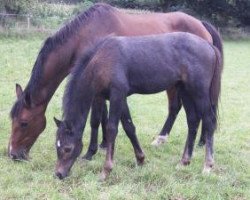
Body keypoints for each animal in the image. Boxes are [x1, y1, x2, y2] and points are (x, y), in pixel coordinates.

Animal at [8, 2, 223, 161]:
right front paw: (104, 144)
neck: (87, 35)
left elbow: (95, 119)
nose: (12, 154)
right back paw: (198, 141)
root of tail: (201, 24)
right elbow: (105, 117)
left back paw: (172, 139)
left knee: (182, 108)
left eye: (24, 123)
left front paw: (91, 152)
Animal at [53, 32, 222, 180]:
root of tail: (209, 45)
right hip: (185, 90)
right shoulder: (118, 97)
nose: (59, 174)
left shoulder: (117, 94)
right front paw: (140, 159)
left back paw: (207, 165)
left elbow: (112, 128)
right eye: (57, 146)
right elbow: (129, 127)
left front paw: (106, 171)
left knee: (209, 121)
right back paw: (184, 162)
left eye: (68, 148)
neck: (102, 59)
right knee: (192, 121)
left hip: (199, 92)